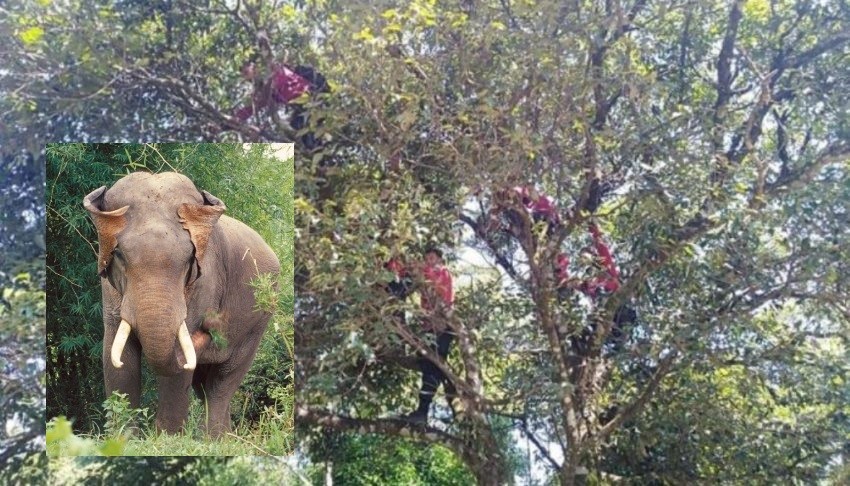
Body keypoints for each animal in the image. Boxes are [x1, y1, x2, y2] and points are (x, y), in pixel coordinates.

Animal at [85, 172, 280, 436]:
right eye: (119, 255)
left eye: (189, 259)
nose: (212, 324)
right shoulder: (110, 289)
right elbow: (116, 355)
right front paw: (124, 437)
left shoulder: (205, 282)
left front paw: (167, 438)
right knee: (204, 384)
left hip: (258, 322)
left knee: (222, 382)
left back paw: (213, 439)